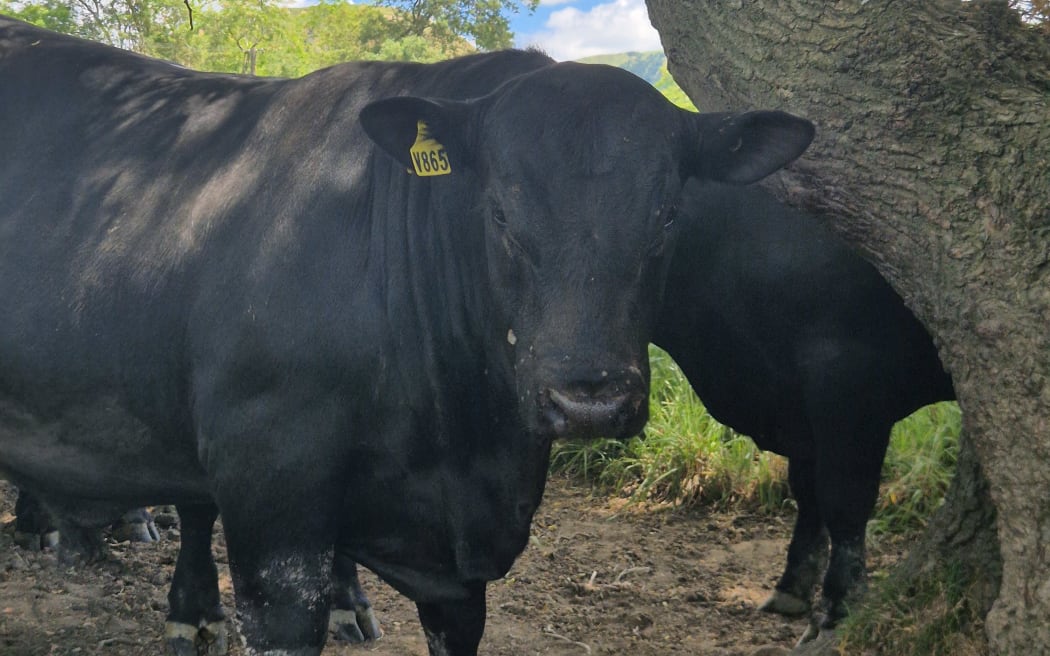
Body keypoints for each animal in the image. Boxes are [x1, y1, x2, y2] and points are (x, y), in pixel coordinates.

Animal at [653, 180, 955, 638]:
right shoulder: (799, 407)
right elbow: (808, 493)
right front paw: (792, 588)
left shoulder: (849, 387)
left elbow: (844, 499)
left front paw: (839, 606)